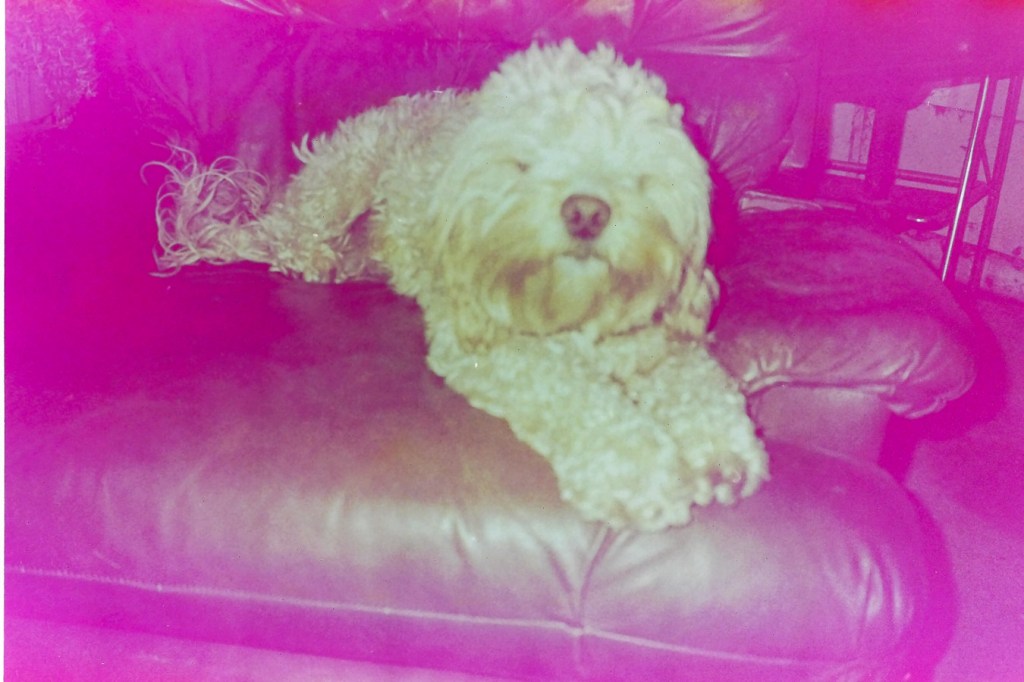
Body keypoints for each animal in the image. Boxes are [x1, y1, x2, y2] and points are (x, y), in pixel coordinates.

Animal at [155, 40, 768, 531]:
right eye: (526, 162)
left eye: (634, 168)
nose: (586, 212)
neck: (576, 310)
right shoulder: (497, 348)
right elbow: (584, 401)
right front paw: (639, 475)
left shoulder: (660, 341)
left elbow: (697, 382)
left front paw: (723, 452)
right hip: (343, 181)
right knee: (290, 237)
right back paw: (315, 257)